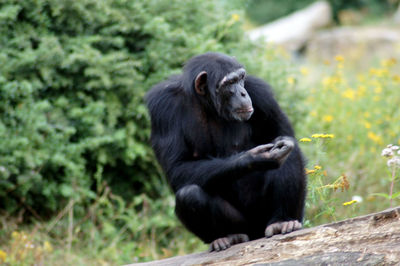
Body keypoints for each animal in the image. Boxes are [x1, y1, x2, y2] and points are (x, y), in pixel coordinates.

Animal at [146, 52, 306, 251]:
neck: (206, 104)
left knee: (289, 150)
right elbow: (177, 167)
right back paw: (227, 237)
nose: (243, 93)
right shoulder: (162, 108)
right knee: (188, 194)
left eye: (240, 78)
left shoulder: (260, 92)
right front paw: (254, 158)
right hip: (245, 225)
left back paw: (282, 221)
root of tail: (257, 233)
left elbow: (282, 134)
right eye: (229, 83)